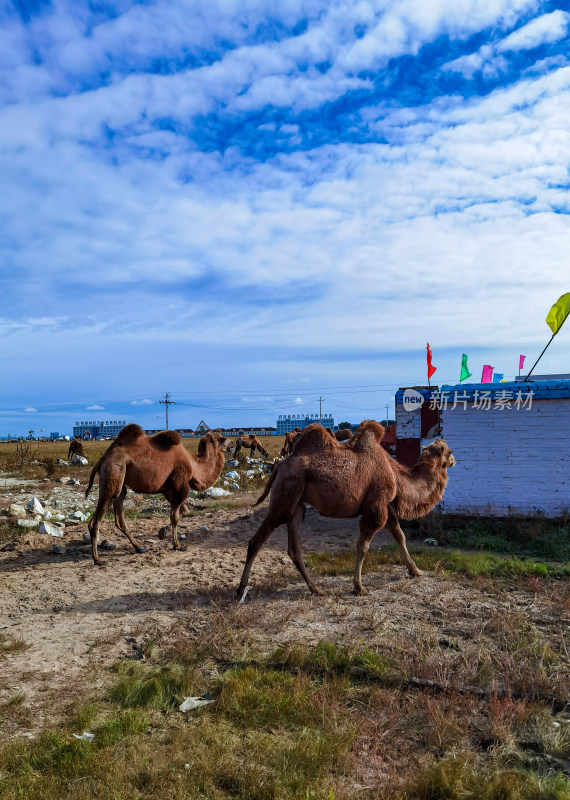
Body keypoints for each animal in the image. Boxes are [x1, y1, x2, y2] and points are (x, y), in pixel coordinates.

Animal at [84, 422, 226, 564]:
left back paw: (139, 547)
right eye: (222, 439)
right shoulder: (179, 484)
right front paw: (177, 545)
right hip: (114, 470)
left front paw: (163, 531)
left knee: (119, 514)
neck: (193, 464)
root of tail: (103, 459)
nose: (230, 446)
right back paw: (98, 559)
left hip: (119, 479)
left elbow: (183, 512)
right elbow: (175, 517)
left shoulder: (167, 489)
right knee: (98, 517)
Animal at [237, 422, 454, 596]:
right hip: (285, 495)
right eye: (447, 450)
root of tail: (279, 467)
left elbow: (399, 535)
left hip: (297, 506)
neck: (395, 473)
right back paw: (241, 588)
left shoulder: (383, 505)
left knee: (294, 548)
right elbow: (363, 546)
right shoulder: (376, 507)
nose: (454, 460)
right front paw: (359, 587)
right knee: (257, 540)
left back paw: (316, 589)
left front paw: (415, 570)